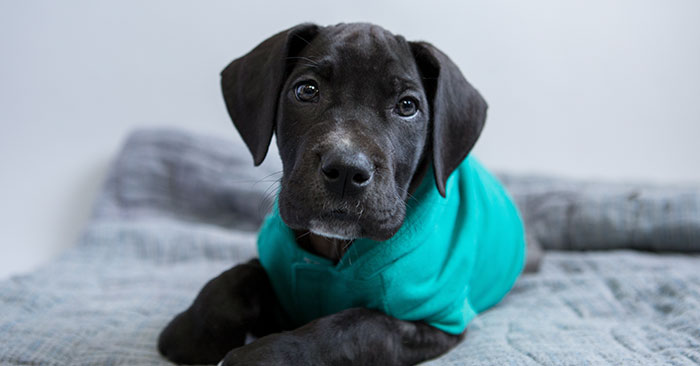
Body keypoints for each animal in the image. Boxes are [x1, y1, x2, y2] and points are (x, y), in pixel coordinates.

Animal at [160, 22, 532, 366]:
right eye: (306, 90)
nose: (347, 170)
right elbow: (238, 277)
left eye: (407, 106)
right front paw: (192, 335)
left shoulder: (432, 322)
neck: (332, 250)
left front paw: (263, 356)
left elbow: (356, 329)